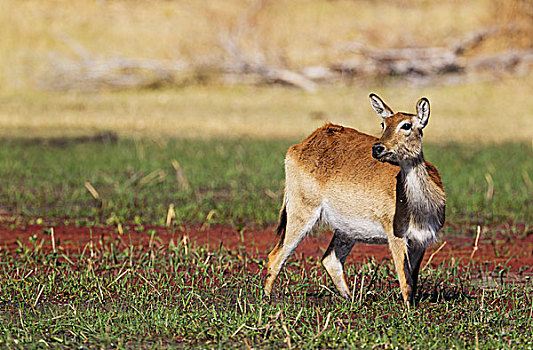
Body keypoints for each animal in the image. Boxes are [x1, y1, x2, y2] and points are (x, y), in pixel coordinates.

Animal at [264, 93, 444, 306]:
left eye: (406, 125)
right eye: (383, 123)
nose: (378, 148)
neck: (421, 207)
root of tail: (303, 144)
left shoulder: (421, 241)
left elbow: (412, 280)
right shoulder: (396, 236)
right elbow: (404, 279)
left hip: (345, 229)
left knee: (330, 260)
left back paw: (353, 300)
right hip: (302, 212)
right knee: (275, 256)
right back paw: (265, 300)